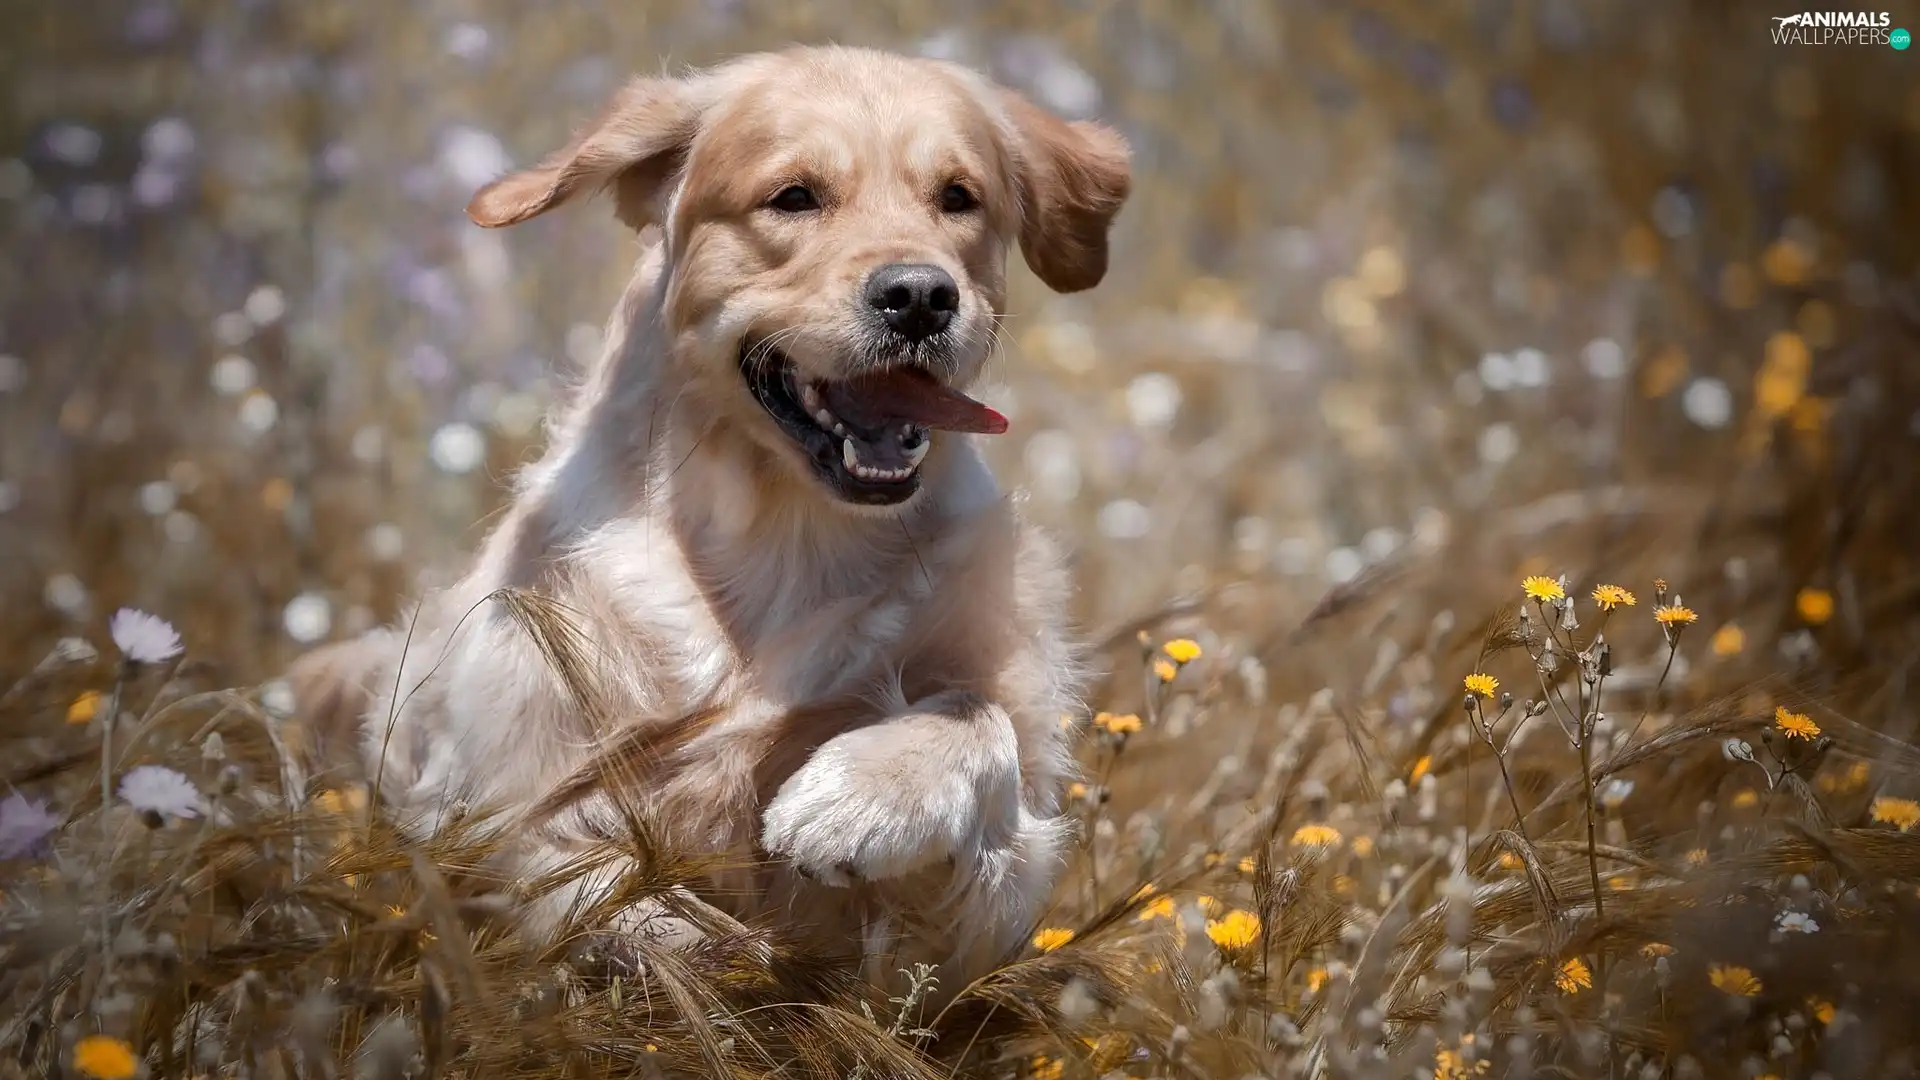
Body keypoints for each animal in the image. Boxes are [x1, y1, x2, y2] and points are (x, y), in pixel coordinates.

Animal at [284, 46, 1121, 991]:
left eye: (958, 196)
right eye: (793, 196)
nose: (919, 296)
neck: (787, 537)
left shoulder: (983, 918)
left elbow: (975, 718)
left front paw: (856, 797)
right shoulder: (503, 799)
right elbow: (602, 898)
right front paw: (711, 957)